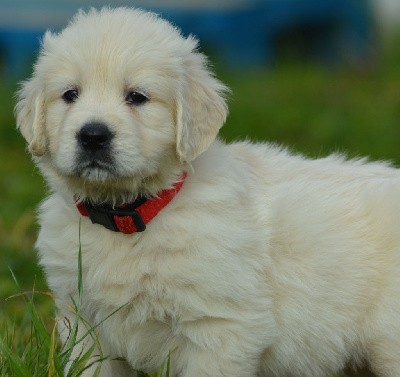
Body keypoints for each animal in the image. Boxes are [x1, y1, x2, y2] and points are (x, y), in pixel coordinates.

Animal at [17, 5, 400, 376]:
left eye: (137, 97)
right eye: (70, 94)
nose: (93, 135)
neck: (130, 215)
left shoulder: (219, 325)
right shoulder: (82, 321)